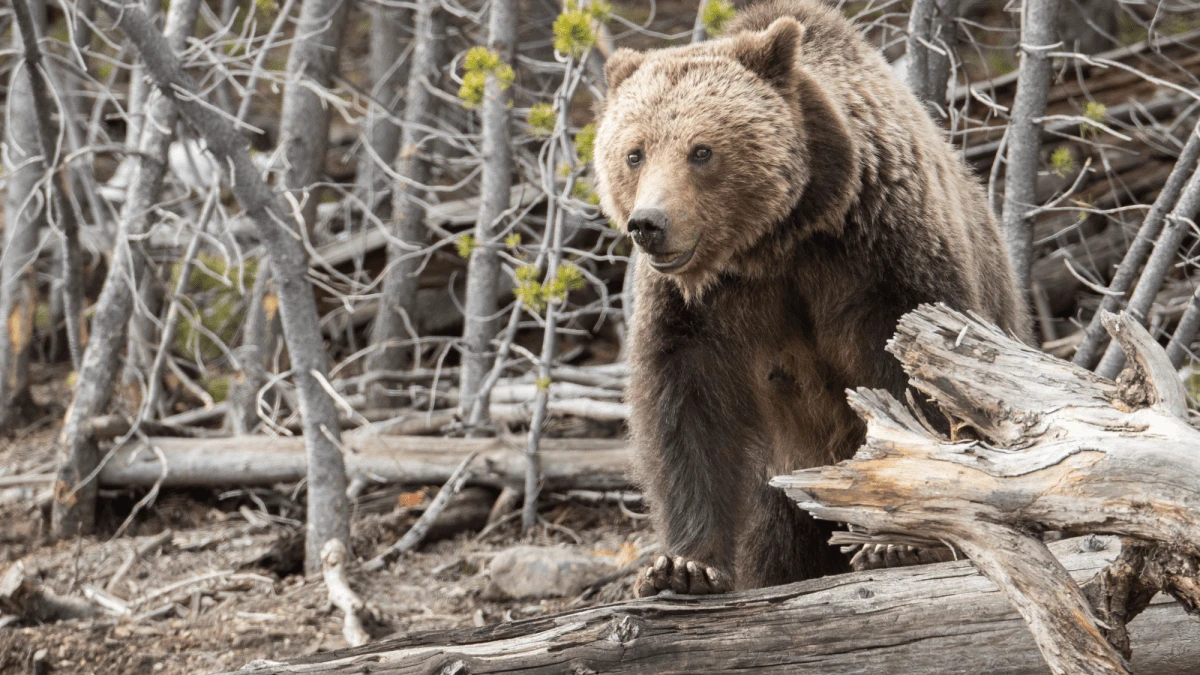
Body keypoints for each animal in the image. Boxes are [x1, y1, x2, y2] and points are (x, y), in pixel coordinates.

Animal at [592, 0, 1031, 597]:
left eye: (701, 150)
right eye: (634, 153)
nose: (649, 224)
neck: (777, 240)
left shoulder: (881, 256)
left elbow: (918, 382)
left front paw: (898, 543)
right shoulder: (699, 306)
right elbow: (687, 410)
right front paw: (683, 566)